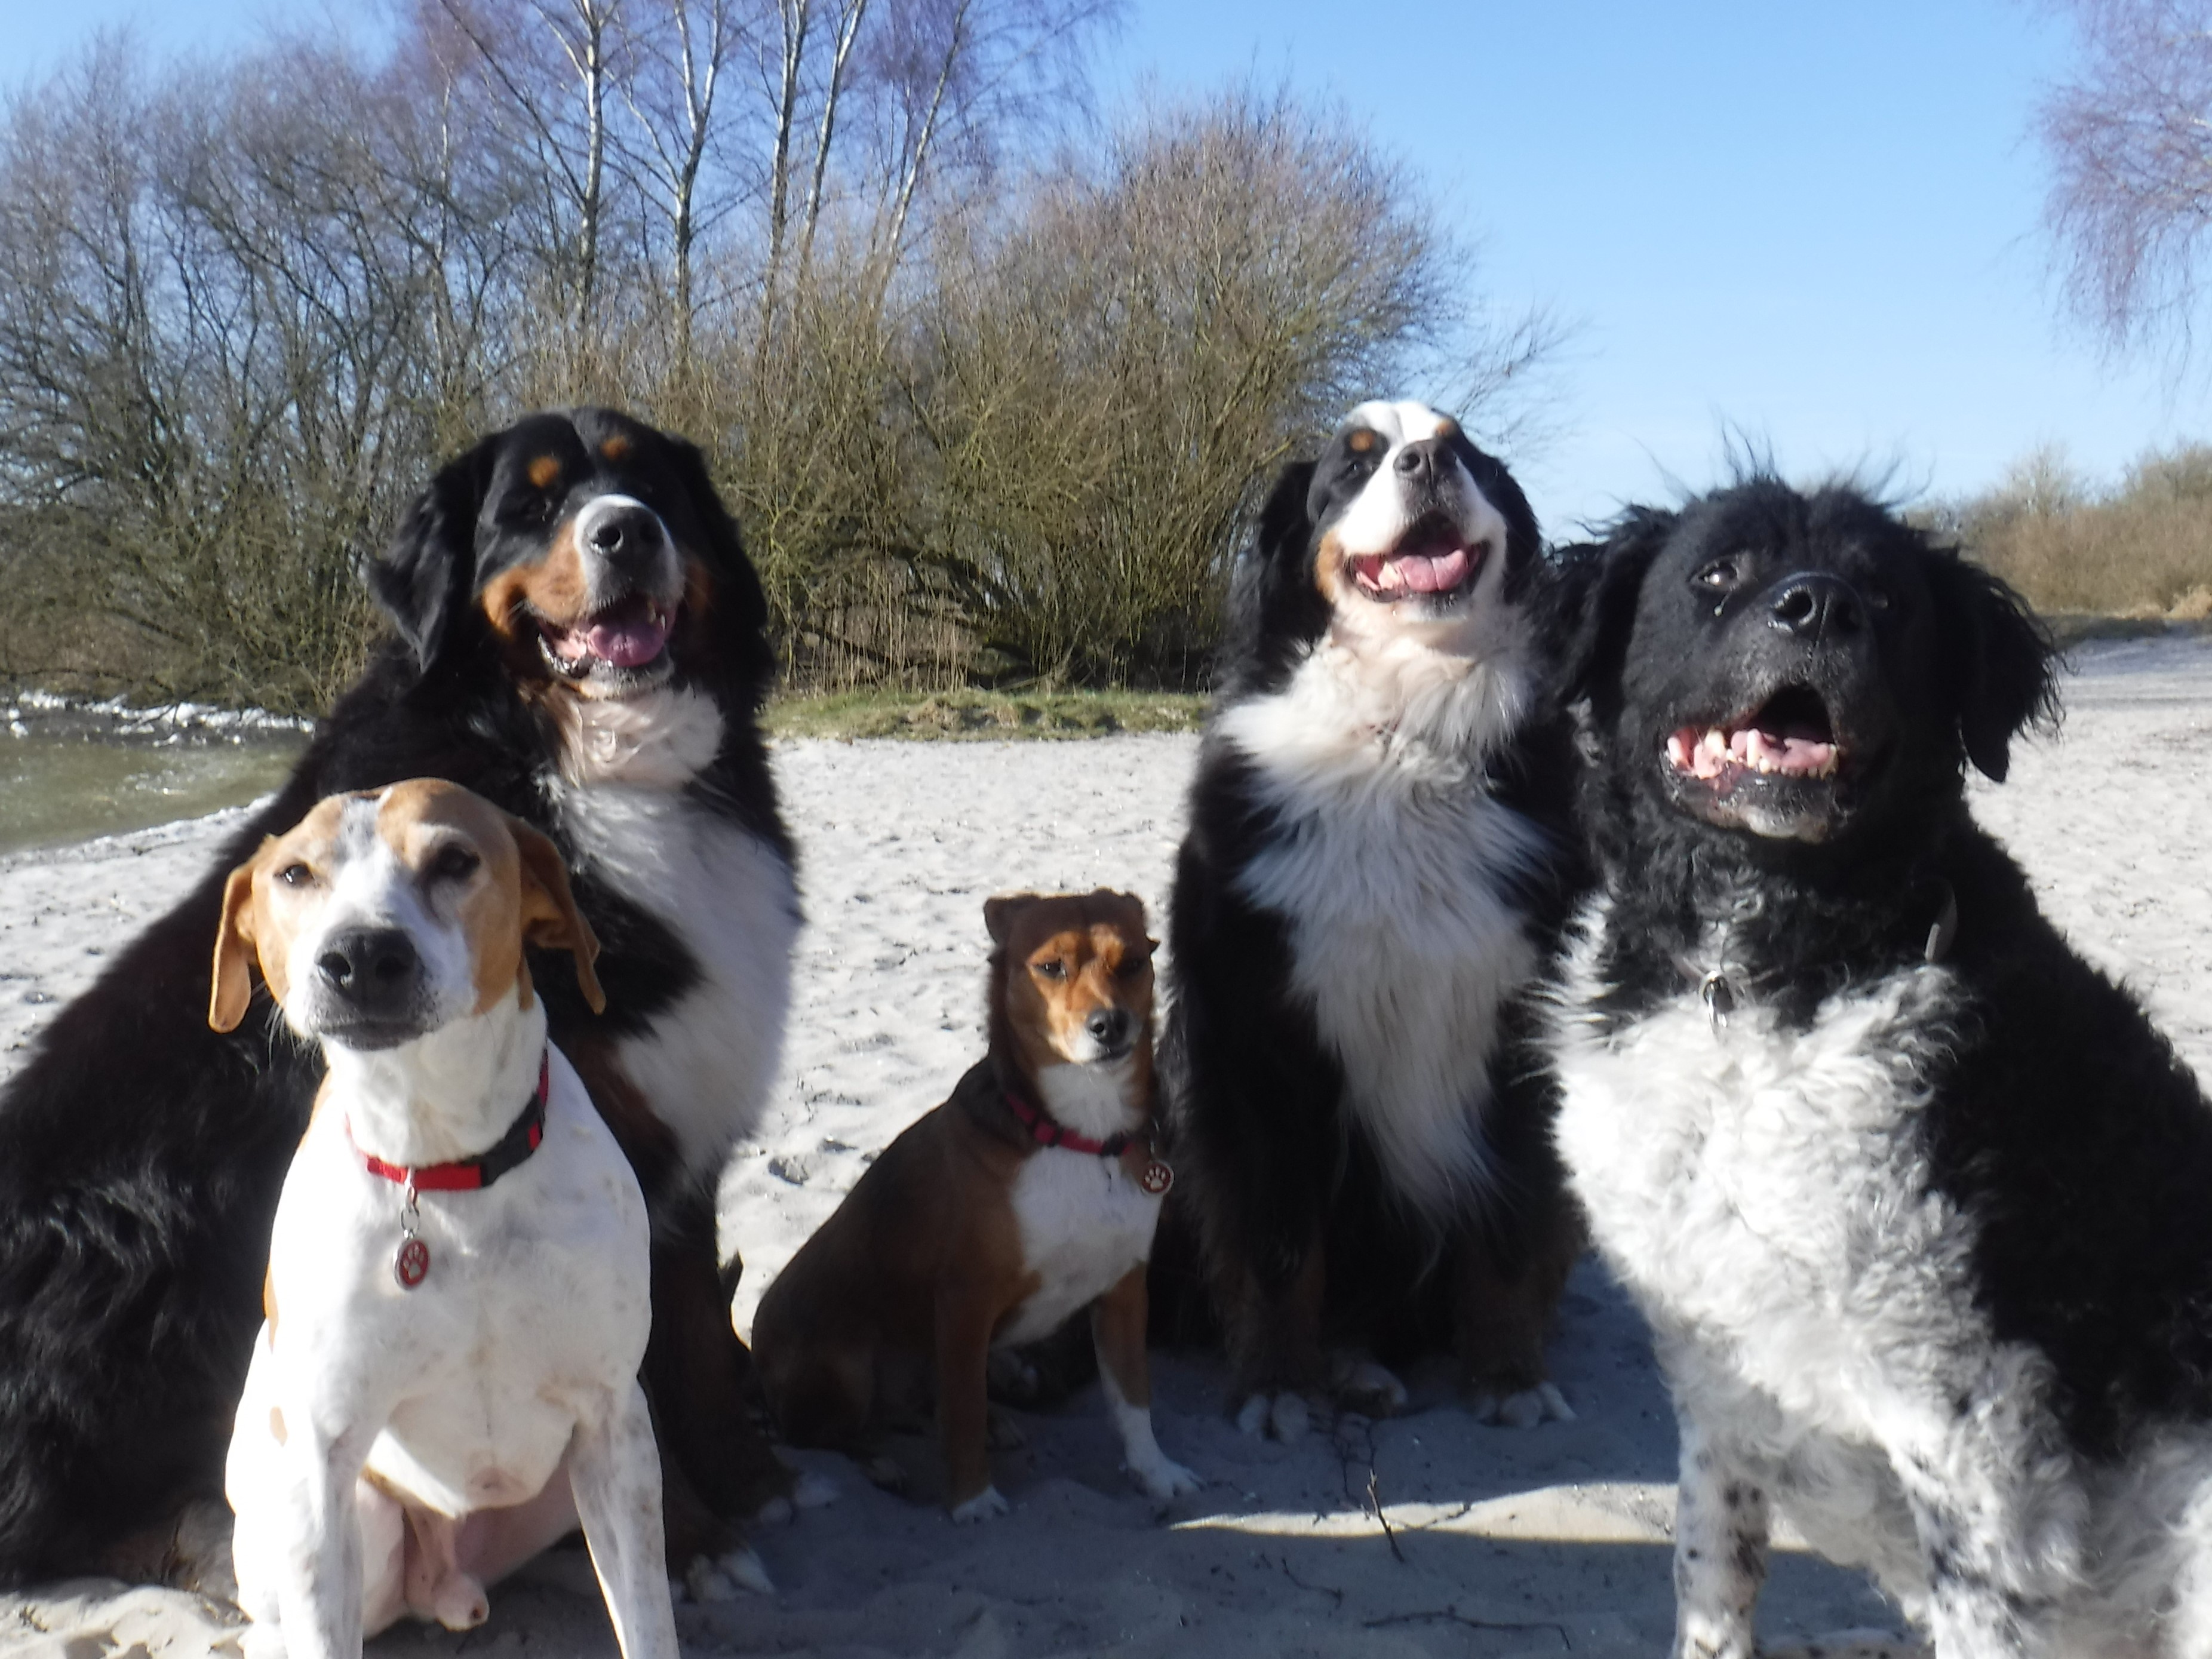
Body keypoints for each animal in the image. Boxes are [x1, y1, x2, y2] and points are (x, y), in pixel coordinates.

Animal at [217, 778, 681, 1659]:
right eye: (294, 874)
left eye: (455, 860)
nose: (362, 955)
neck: (441, 1158)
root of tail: (443, 1579)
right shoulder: (325, 1460)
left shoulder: (615, 1424)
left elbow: (645, 1618)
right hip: (333, 1520)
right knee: (277, 1619)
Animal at [752, 889, 1203, 1531]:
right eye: (1051, 967)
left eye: (1135, 963)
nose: (1110, 1025)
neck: (1078, 1136)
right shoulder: (965, 1301)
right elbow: (961, 1412)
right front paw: (973, 1501)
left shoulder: (1124, 1292)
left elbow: (1132, 1398)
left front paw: (1155, 1472)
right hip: (845, 1368)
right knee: (824, 1433)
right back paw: (879, 1460)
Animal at [1159, 400, 1592, 1442]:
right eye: (1351, 469)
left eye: (1464, 448)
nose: (1426, 462)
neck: (1405, 735)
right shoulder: (1267, 1043)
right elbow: (1282, 1245)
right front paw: (1280, 1385)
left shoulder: (1522, 1032)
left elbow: (1509, 1227)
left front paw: (1510, 1374)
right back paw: (1349, 1372)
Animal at [1548, 471, 2212, 1659]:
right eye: (1716, 572)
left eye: (1889, 598)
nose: (1816, 606)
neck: (1764, 987)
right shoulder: (1716, 1386)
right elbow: (1709, 1579)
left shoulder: (1976, 1426)